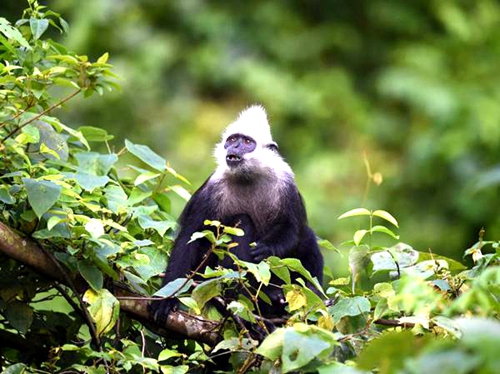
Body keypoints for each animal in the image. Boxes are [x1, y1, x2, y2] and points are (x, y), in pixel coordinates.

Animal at [150, 104, 324, 322]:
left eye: (247, 142)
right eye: (232, 140)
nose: (233, 148)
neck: (247, 178)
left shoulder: (286, 183)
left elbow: (292, 229)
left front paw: (266, 248)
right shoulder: (211, 190)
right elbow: (189, 239)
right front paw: (165, 299)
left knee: (306, 236)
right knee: (243, 221)